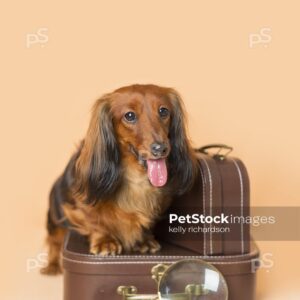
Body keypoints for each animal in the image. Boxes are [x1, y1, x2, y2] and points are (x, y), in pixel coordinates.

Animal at [41, 84, 198, 274]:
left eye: (163, 111)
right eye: (129, 116)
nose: (161, 148)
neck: (136, 177)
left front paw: (143, 239)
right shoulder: (81, 202)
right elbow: (93, 218)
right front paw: (105, 241)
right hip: (54, 216)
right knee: (54, 241)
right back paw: (52, 266)